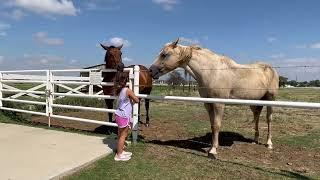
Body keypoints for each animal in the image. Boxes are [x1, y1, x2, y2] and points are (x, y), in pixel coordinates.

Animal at [149, 38, 278, 158]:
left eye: (165, 54)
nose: (151, 71)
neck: (212, 71)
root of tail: (271, 69)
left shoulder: (218, 104)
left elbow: (217, 125)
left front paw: (213, 151)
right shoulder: (208, 104)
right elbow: (212, 125)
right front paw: (212, 146)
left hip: (270, 99)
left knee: (269, 119)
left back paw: (269, 143)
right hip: (254, 102)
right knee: (256, 117)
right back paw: (255, 140)